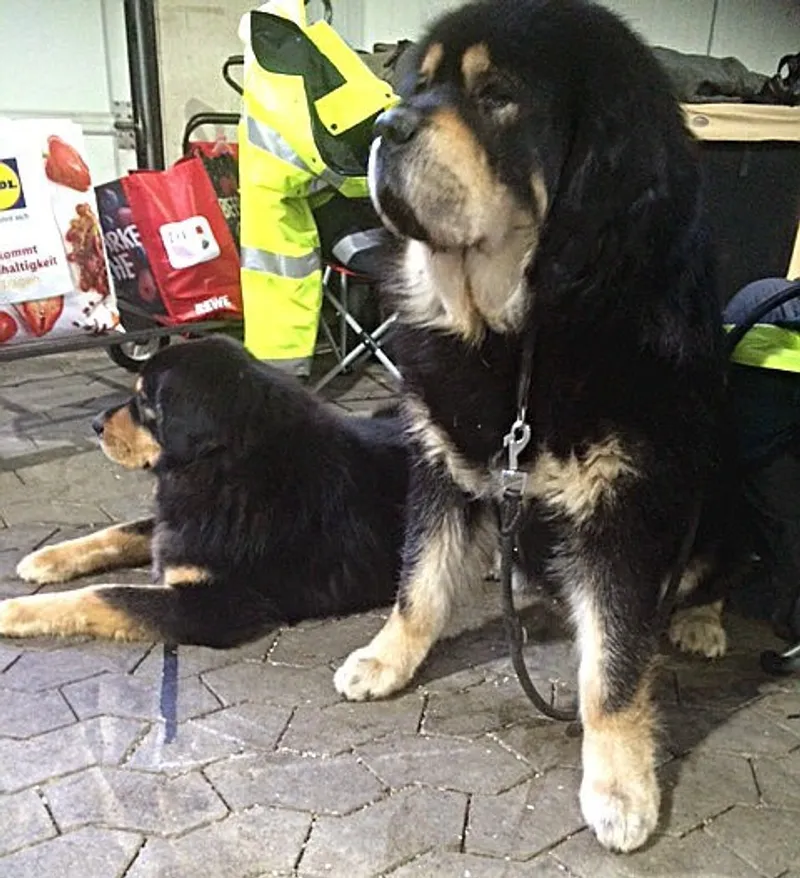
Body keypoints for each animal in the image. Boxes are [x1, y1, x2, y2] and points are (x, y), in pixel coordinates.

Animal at [0, 337, 407, 647]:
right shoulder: (178, 524)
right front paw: (46, 558)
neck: (225, 471)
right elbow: (119, 532)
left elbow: (103, 594)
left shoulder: (217, 604)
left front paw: (11, 610)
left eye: (145, 402)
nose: (95, 423)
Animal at [333, 0, 736, 853]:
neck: (519, 332)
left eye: (496, 98)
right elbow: (419, 585)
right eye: (418, 87)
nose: (386, 125)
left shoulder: (627, 507)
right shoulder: (441, 460)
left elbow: (612, 669)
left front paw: (619, 786)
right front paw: (387, 658)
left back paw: (699, 619)